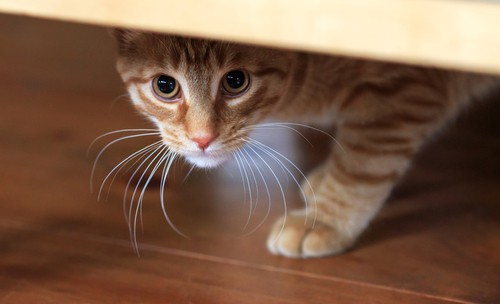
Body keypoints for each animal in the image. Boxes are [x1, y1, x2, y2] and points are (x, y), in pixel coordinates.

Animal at [111, 29, 498, 258]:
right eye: (165, 86)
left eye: (236, 81)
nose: (202, 137)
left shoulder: (402, 91)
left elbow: (361, 165)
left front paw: (325, 220)